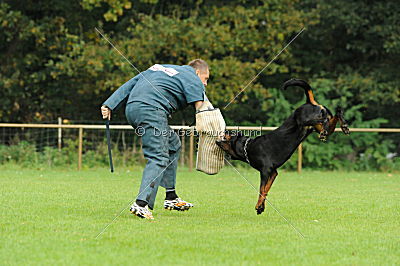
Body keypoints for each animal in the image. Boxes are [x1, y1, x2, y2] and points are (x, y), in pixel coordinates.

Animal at [216, 78, 350, 214]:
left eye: (229, 134)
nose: (224, 131)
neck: (247, 147)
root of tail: (309, 103)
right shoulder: (273, 173)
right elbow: (266, 189)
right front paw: (261, 206)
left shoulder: (265, 171)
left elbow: (261, 189)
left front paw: (258, 205)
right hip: (319, 127)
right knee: (334, 117)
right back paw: (342, 125)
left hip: (303, 119)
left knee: (323, 119)